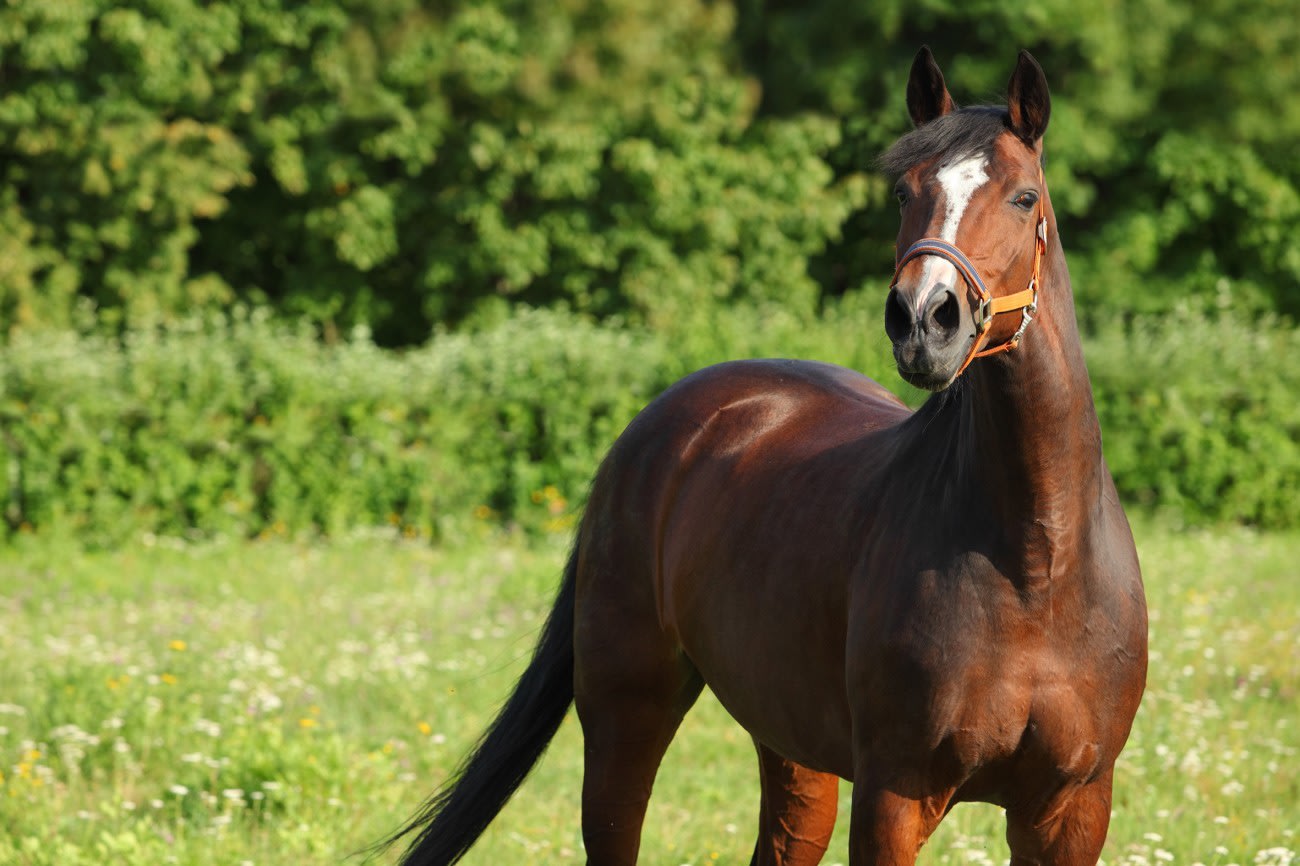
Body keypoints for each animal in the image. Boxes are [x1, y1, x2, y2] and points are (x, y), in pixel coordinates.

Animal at [382, 48, 1149, 863]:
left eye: (1023, 196)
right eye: (905, 191)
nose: (923, 320)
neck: (1035, 563)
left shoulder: (1071, 808)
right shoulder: (895, 793)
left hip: (789, 740)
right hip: (627, 711)